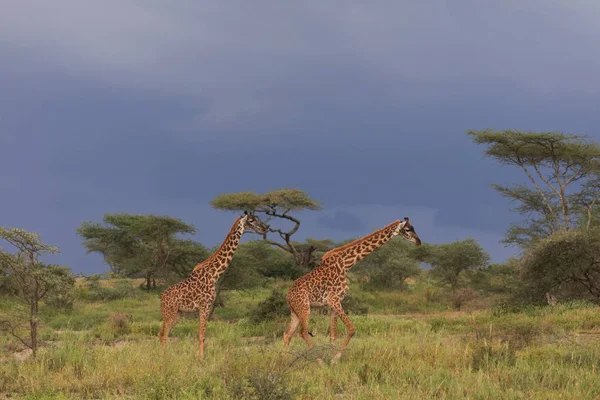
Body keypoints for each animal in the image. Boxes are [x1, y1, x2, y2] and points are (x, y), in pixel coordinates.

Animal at [157, 212, 268, 360]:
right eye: (251, 220)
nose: (265, 227)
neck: (214, 275)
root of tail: (161, 298)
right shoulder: (205, 306)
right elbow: (201, 336)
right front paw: (201, 360)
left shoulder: (206, 307)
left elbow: (202, 336)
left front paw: (200, 358)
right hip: (170, 311)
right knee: (163, 334)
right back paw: (164, 359)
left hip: (178, 313)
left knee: (163, 333)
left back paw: (165, 357)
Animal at [282, 217, 420, 364]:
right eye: (407, 229)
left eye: (413, 227)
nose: (419, 241)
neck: (346, 264)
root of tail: (287, 296)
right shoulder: (334, 300)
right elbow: (351, 329)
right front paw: (335, 358)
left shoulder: (333, 303)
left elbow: (333, 334)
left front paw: (332, 358)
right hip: (304, 308)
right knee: (302, 332)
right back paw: (319, 361)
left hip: (295, 311)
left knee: (287, 334)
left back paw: (283, 360)